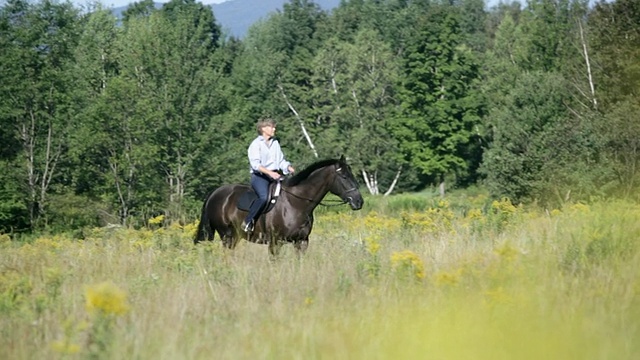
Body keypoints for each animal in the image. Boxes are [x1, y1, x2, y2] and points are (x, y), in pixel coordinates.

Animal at [194, 156, 364, 255]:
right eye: (344, 176)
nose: (359, 201)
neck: (296, 203)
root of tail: (215, 193)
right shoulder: (276, 242)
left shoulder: (302, 241)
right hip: (227, 236)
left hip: (234, 237)